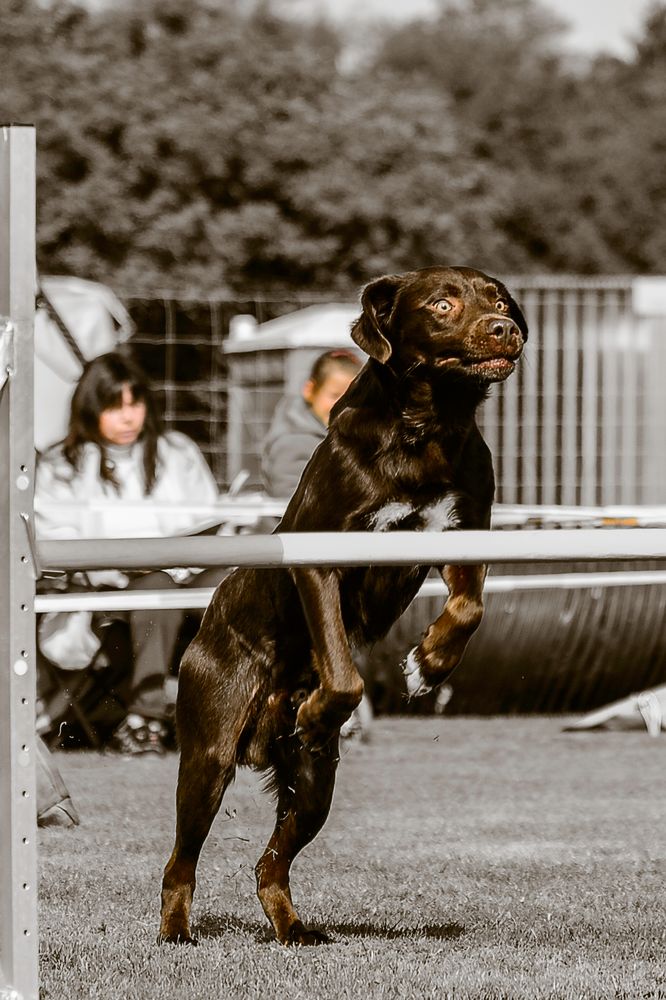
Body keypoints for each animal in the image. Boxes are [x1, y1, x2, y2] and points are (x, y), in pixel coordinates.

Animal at [158, 264, 528, 944]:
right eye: (442, 303)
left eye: (498, 299)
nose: (504, 329)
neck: (428, 426)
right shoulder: (320, 561)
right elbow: (343, 668)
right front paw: (324, 703)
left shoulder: (465, 538)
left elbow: (469, 611)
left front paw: (426, 666)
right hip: (209, 752)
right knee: (181, 858)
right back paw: (176, 931)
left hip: (314, 782)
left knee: (269, 863)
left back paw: (294, 931)